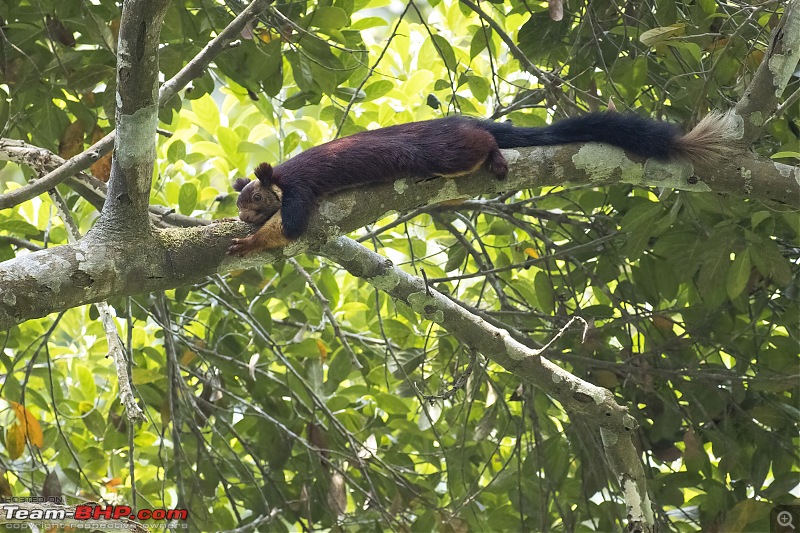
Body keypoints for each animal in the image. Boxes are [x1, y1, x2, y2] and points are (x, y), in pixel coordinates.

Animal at [225, 110, 736, 256]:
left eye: (256, 199)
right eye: (239, 203)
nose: (243, 217)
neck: (281, 177)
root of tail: (460, 119)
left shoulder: (299, 192)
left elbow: (290, 228)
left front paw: (249, 242)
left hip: (444, 149)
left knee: (480, 142)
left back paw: (493, 153)